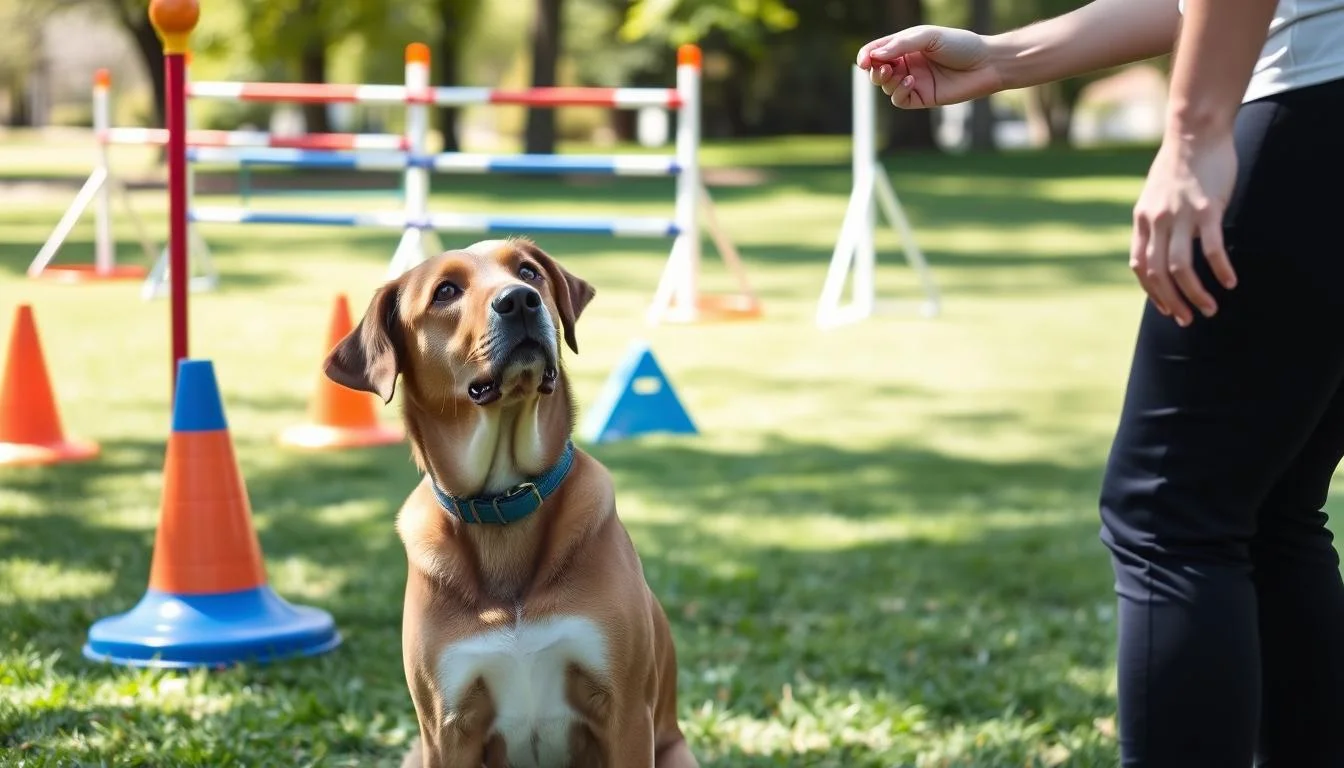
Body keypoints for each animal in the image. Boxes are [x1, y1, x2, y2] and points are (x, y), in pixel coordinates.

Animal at [323, 235, 698, 768]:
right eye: (445, 291)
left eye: (527, 271)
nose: (520, 300)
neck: (503, 500)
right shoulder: (447, 728)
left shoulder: (625, 710)